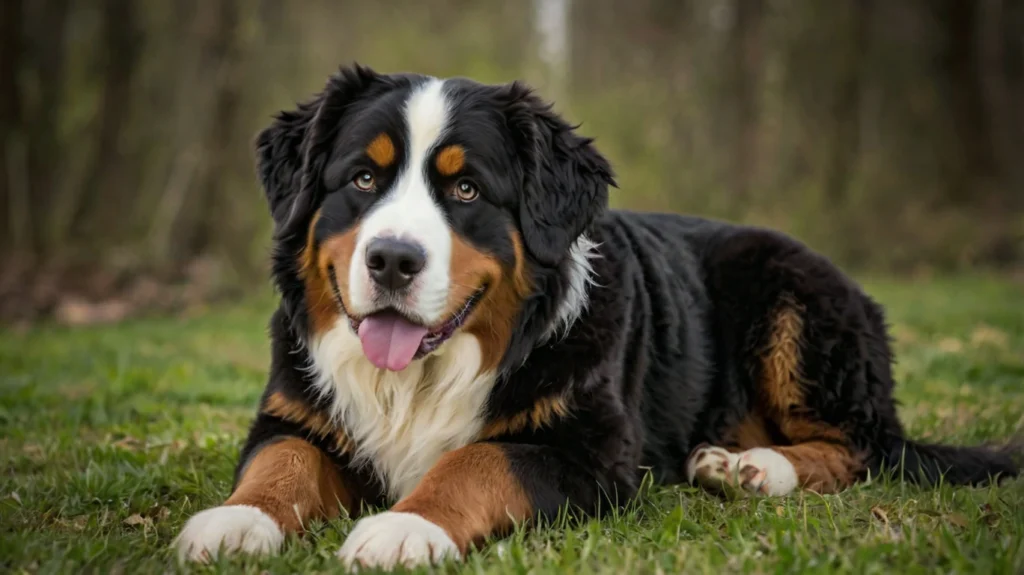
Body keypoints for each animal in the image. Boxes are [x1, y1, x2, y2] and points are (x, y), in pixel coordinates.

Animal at [174, 64, 1015, 564]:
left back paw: (753, 468)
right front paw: (233, 519)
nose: (391, 260)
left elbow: (475, 461)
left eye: (467, 189)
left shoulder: (591, 450)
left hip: (795, 301)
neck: (425, 376)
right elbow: (280, 462)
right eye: (362, 178)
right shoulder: (293, 414)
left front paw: (405, 525)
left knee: (858, 446)